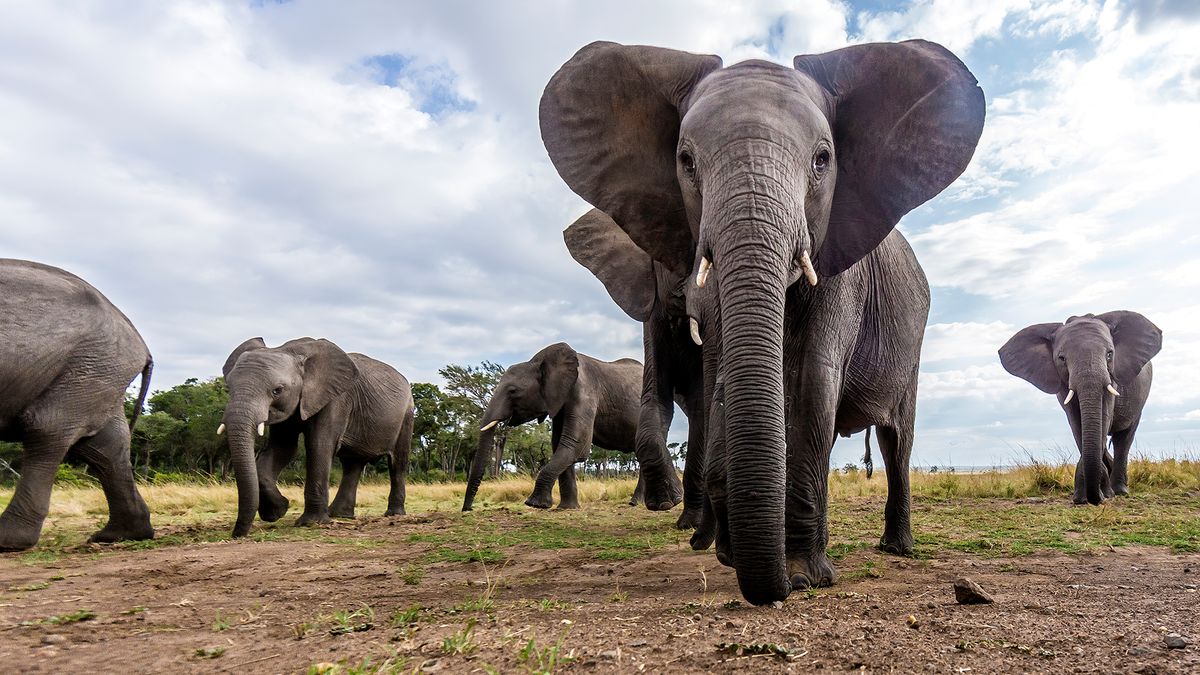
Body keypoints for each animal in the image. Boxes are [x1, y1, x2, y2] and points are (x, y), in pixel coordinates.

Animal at [0, 255, 154, 547]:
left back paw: (9, 540)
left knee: (47, 429)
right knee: (103, 447)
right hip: (98, 371)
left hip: (88, 367)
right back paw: (117, 535)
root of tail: (143, 345)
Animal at [218, 336, 415, 535]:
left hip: (407, 414)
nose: (237, 535)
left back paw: (393, 514)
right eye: (228, 388)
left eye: (277, 390)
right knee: (353, 464)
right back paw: (340, 515)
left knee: (397, 463)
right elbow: (283, 448)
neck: (290, 350)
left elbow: (319, 445)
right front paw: (277, 512)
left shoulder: (335, 399)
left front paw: (310, 523)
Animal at [460, 341, 648, 509]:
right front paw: (566, 508)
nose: (468, 509)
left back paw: (636, 503)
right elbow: (559, 444)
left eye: (513, 391)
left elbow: (576, 445)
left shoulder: (584, 392)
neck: (540, 362)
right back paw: (638, 503)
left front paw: (535, 504)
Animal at [540, 39, 979, 600]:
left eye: (822, 160)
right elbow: (704, 388)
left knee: (896, 440)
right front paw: (728, 549)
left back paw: (896, 548)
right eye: (686, 162)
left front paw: (804, 576)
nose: (776, 586)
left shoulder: (840, 263)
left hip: (914, 339)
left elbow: (814, 382)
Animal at [993, 312, 1161, 502]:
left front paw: (1103, 494)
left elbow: (1104, 417)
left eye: (1110, 354)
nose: (1097, 499)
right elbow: (1075, 422)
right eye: (1061, 358)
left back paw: (1119, 491)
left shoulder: (1112, 379)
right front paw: (1083, 497)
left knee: (1123, 438)